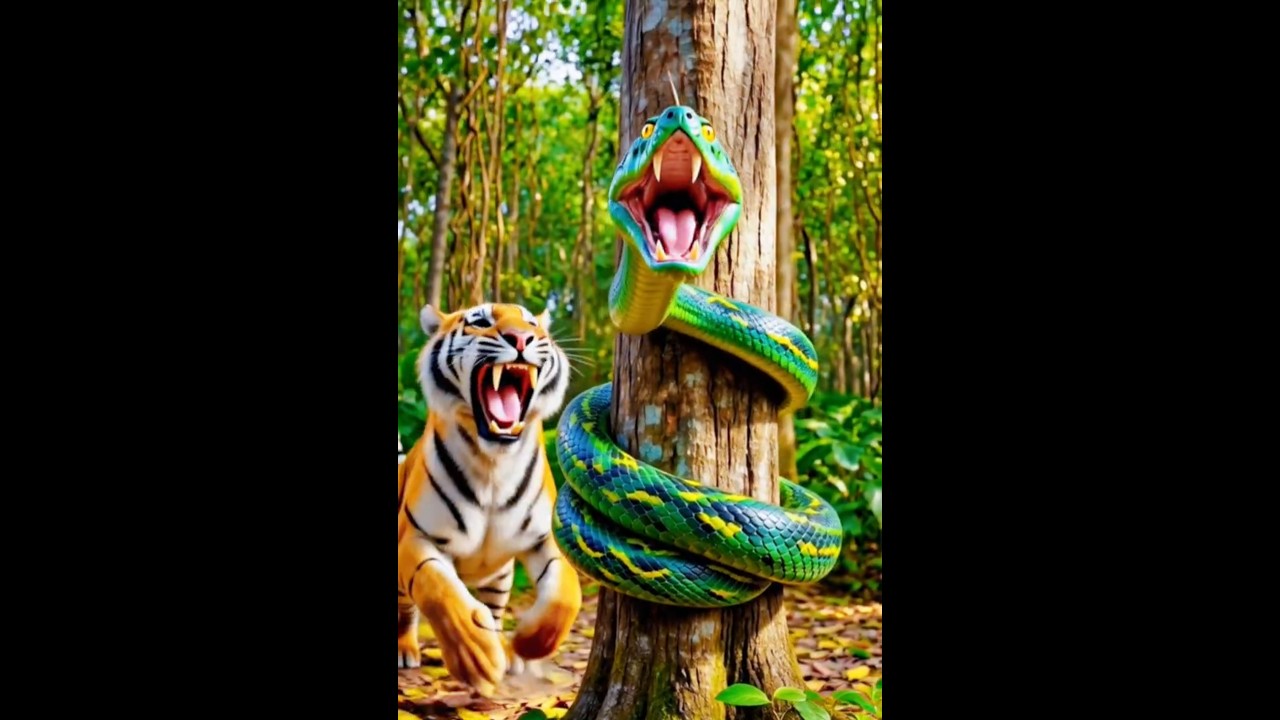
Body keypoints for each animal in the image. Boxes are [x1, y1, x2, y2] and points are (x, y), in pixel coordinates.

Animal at [397, 301, 581, 697]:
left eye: (531, 323)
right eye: (480, 321)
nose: (522, 338)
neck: (494, 463)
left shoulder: (546, 537)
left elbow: (564, 595)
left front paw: (527, 642)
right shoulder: (416, 538)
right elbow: (439, 590)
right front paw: (476, 656)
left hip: (499, 577)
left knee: (495, 609)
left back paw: (504, 647)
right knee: (406, 610)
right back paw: (406, 650)